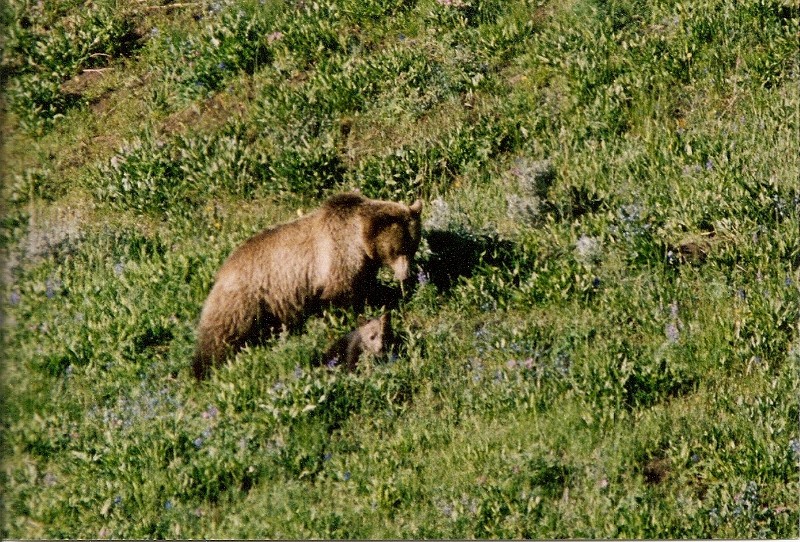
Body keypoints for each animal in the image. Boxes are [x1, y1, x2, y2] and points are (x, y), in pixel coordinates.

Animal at [193, 193, 422, 380]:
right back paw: (203, 368)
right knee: (220, 333)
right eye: (398, 249)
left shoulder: (363, 267)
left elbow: (366, 290)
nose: (407, 276)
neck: (360, 241)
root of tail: (222, 270)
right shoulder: (337, 258)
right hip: (245, 297)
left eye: (413, 246)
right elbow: (339, 299)